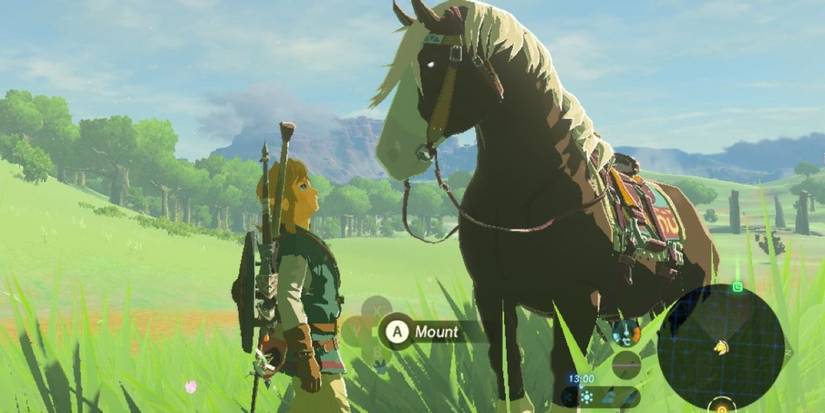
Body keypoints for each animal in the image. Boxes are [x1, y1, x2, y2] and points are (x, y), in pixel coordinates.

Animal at [372, 1, 719, 411]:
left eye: (431, 62)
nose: (390, 153)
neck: (524, 194)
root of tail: (697, 223)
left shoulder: (577, 302)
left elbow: (564, 373)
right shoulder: (491, 294)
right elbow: (506, 366)